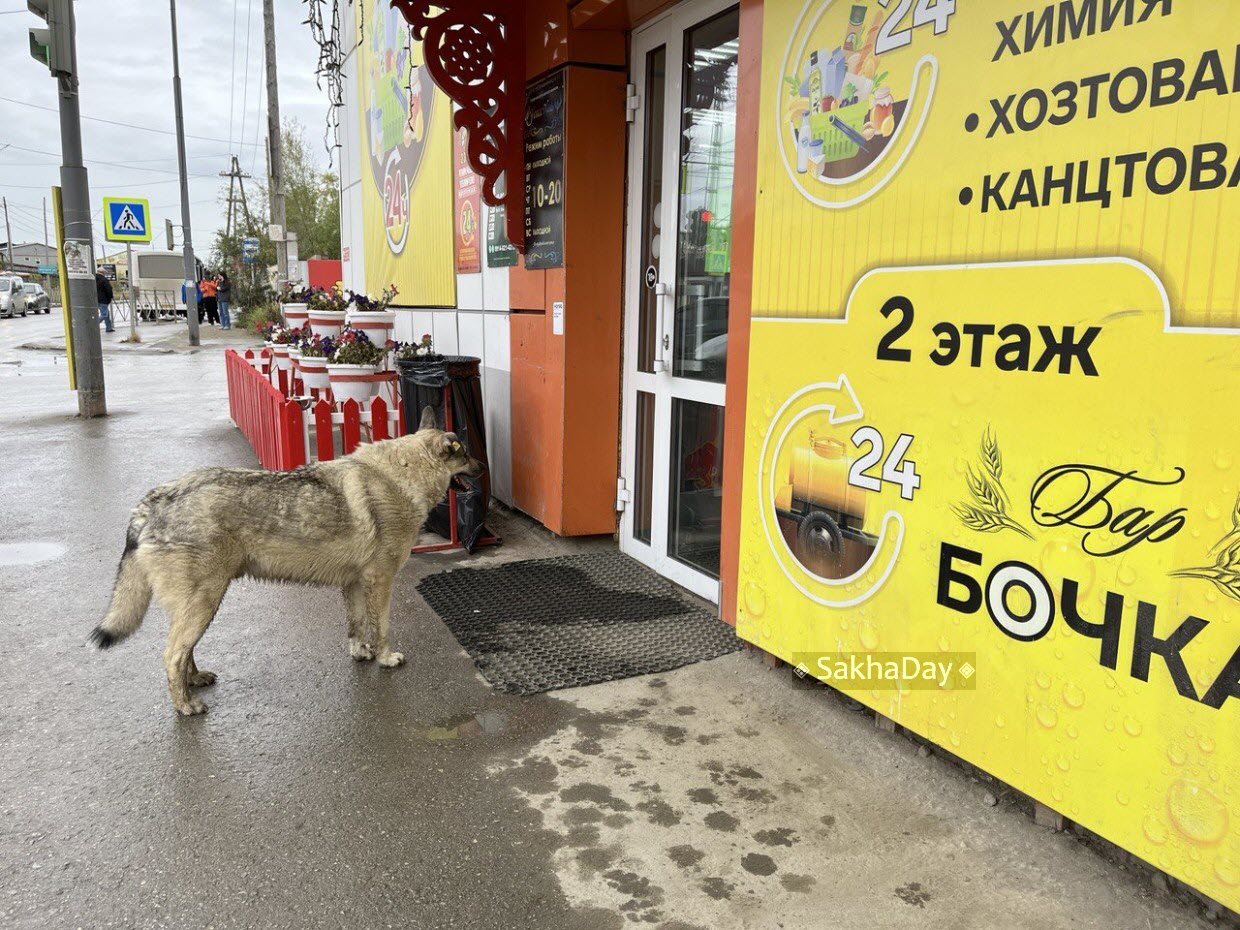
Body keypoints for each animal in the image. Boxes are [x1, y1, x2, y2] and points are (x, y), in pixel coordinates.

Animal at [87, 404, 481, 719]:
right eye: (467, 455)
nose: (484, 468)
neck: (404, 473)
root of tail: (150, 503)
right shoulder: (380, 582)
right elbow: (380, 628)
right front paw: (386, 658)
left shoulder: (354, 583)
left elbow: (356, 628)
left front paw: (361, 654)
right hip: (205, 603)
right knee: (172, 655)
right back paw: (186, 705)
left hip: (199, 606)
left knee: (184, 652)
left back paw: (195, 680)